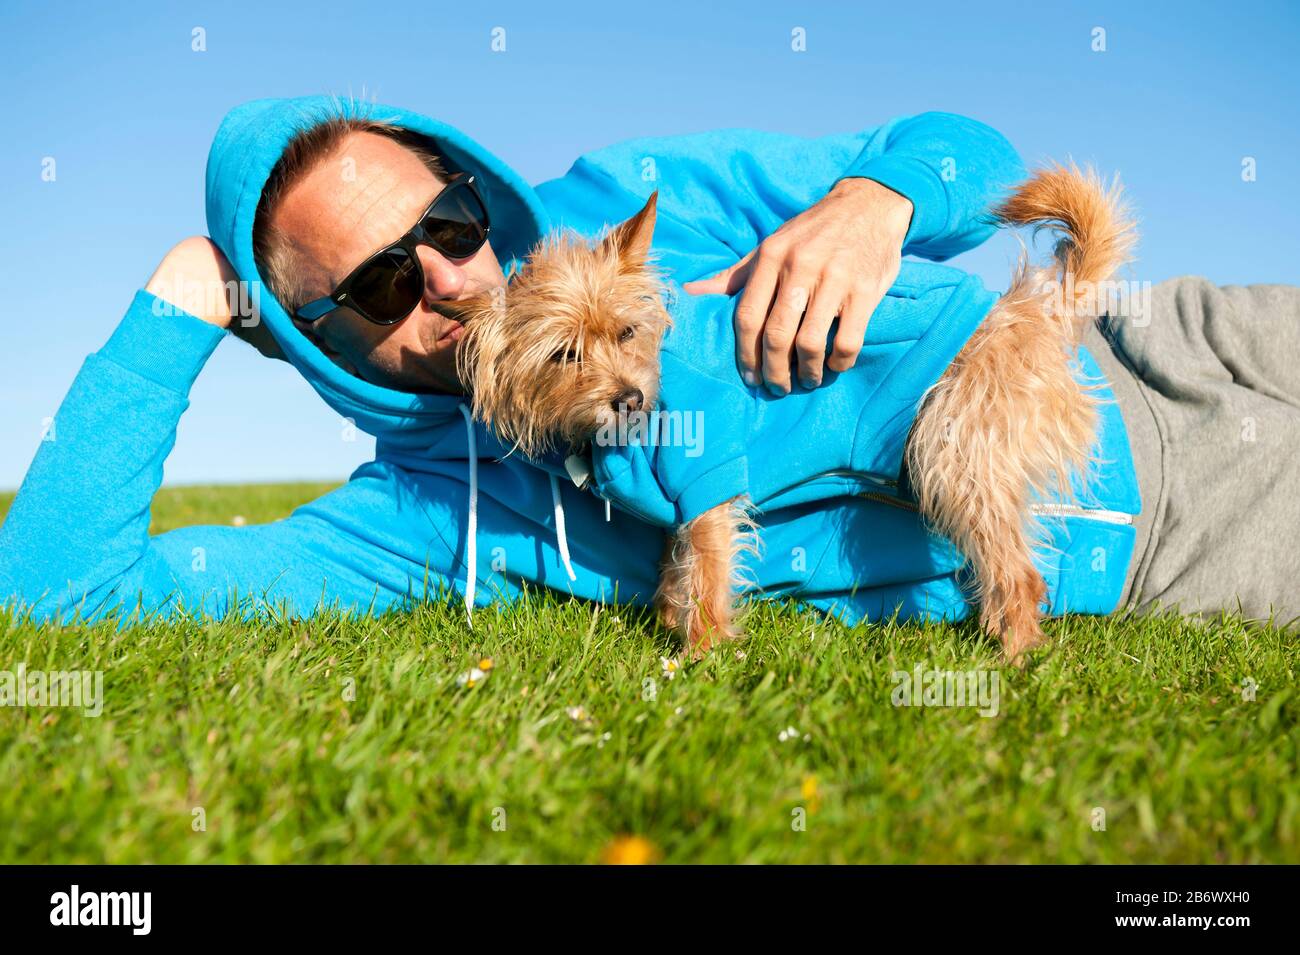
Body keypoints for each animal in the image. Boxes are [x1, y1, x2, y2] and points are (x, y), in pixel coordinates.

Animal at [452, 166, 1133, 665]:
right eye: (564, 355)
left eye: (626, 332)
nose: (629, 399)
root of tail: (1030, 311)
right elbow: (677, 563)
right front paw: (673, 620)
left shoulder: (707, 481)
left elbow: (707, 569)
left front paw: (698, 657)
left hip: (955, 456)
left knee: (1020, 575)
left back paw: (1011, 659)